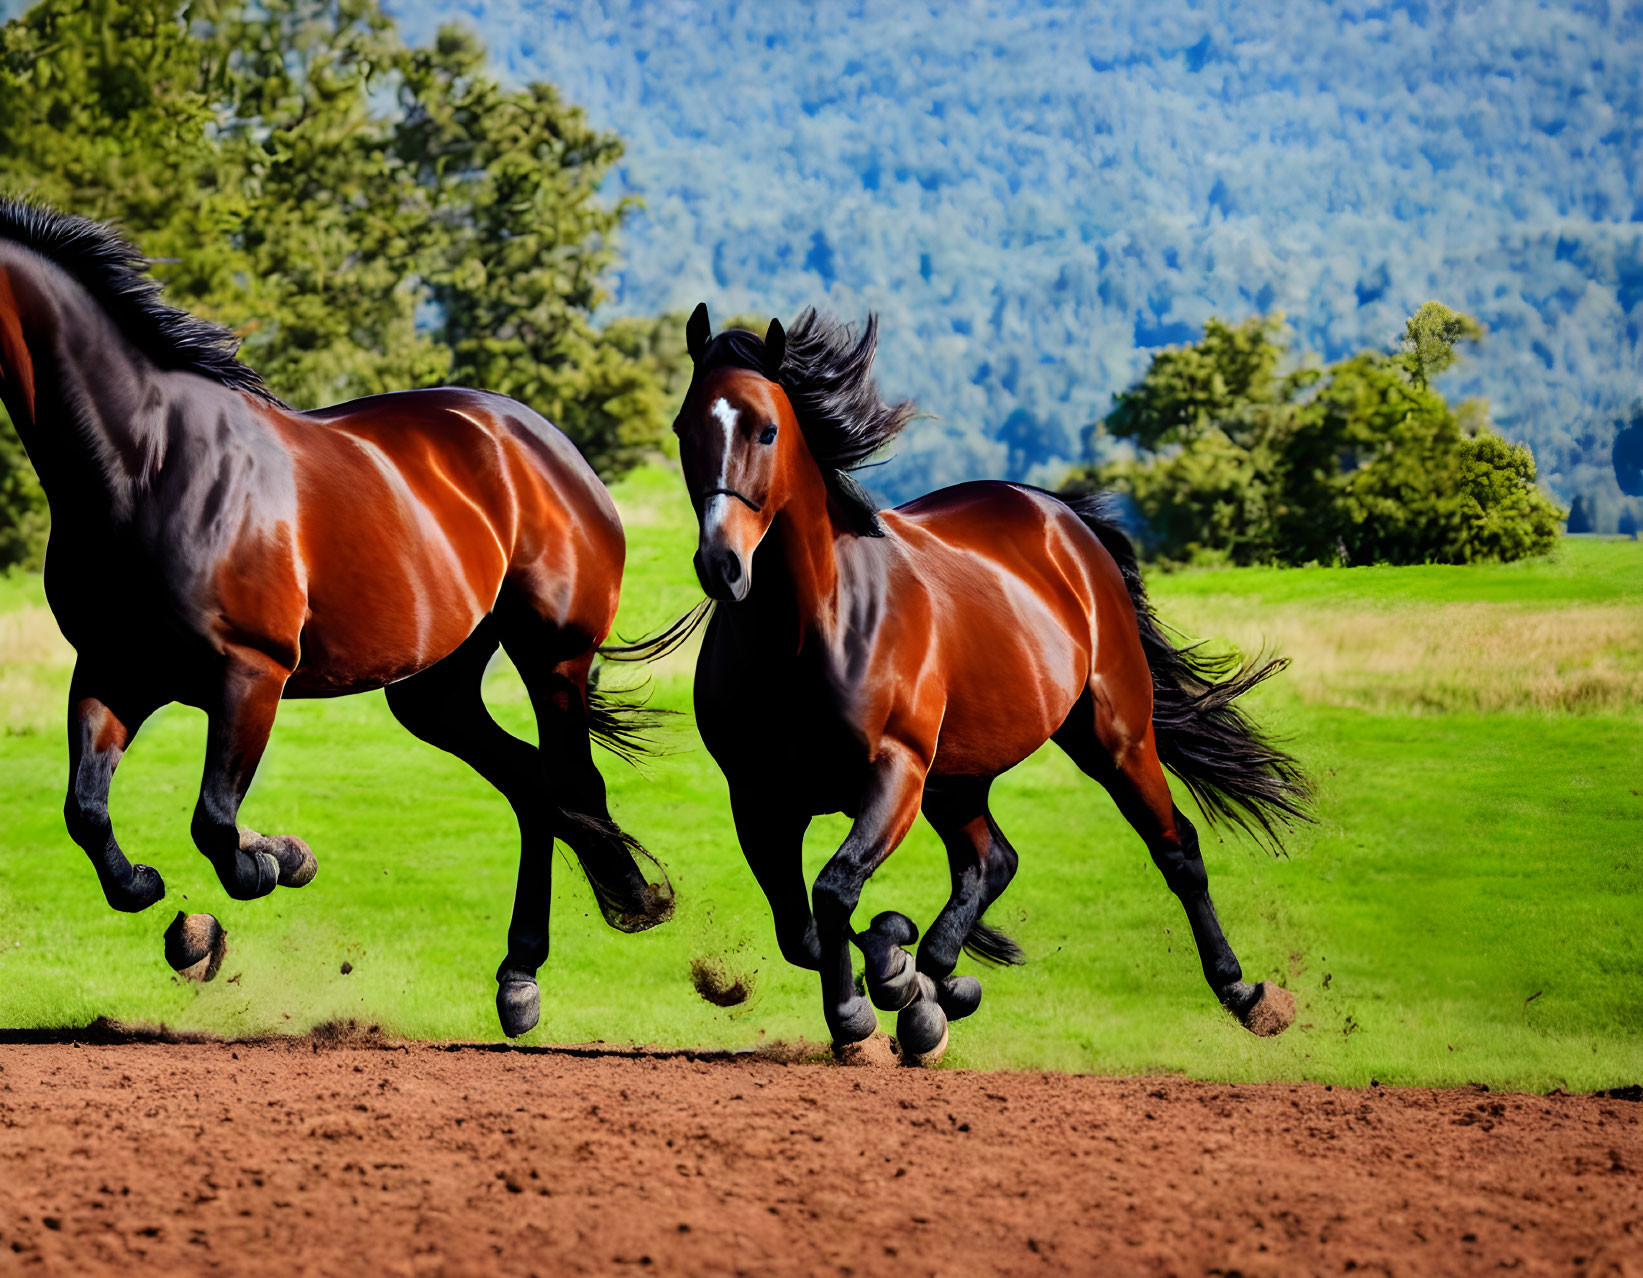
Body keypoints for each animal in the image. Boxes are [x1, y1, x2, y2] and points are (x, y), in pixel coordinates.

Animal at [0, 202, 670, 1038]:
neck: (146, 462)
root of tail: (549, 447)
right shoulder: (113, 670)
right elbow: (88, 815)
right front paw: (175, 901)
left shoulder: (250, 672)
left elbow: (216, 826)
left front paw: (273, 863)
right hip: (434, 691)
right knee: (532, 784)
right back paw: (519, 980)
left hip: (552, 657)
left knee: (571, 784)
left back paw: (623, 908)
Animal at [667, 303, 1307, 1057]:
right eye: (683, 429)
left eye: (766, 429)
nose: (722, 565)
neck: (804, 635)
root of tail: (1060, 518)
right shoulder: (760, 799)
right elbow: (804, 930)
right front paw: (899, 978)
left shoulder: (896, 773)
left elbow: (833, 892)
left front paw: (865, 1004)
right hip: (959, 779)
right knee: (990, 861)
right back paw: (937, 981)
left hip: (1111, 739)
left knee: (1175, 849)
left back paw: (1244, 992)